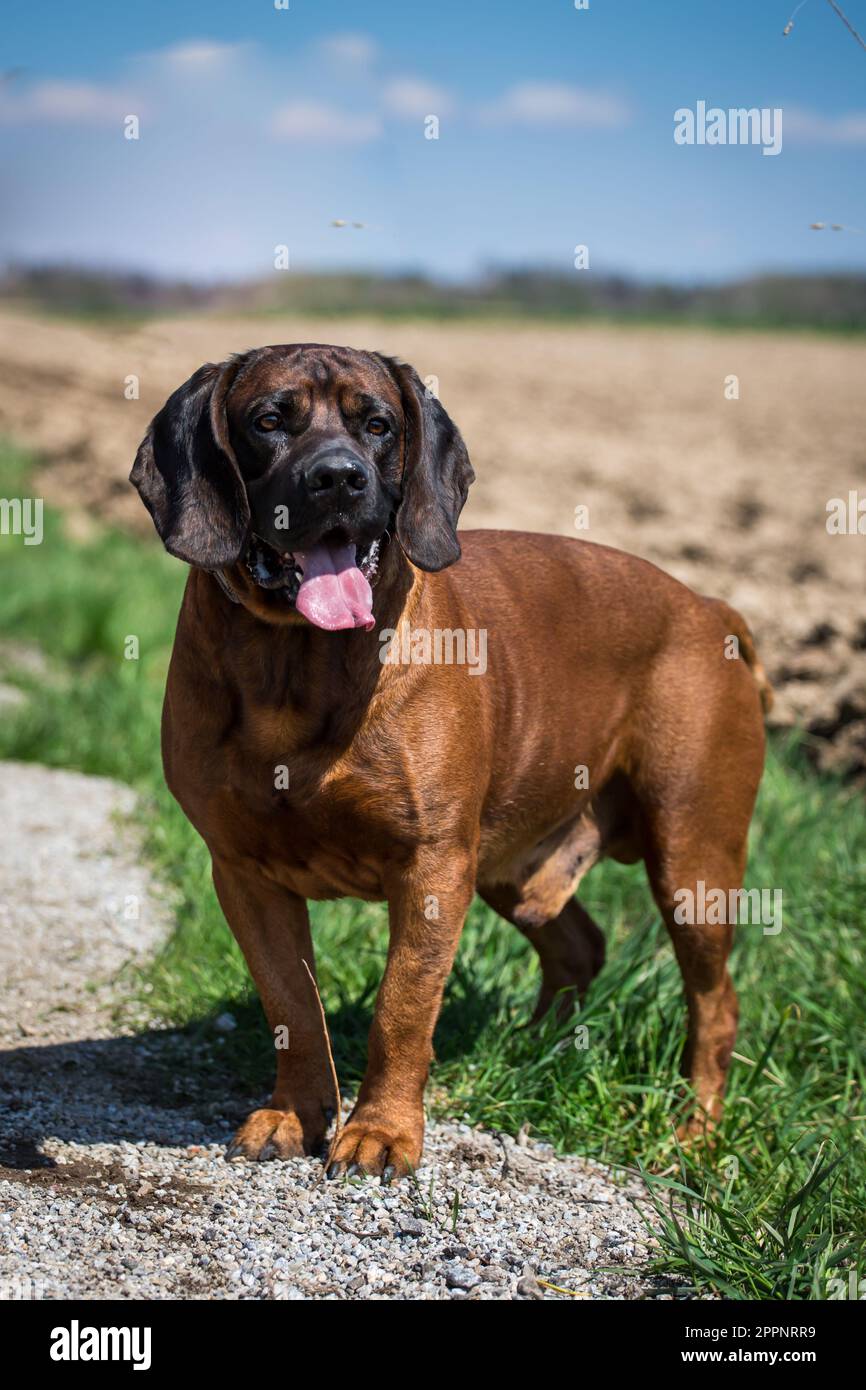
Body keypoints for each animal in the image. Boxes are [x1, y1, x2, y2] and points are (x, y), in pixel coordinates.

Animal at [132, 341, 767, 1178]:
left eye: (377, 425)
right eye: (269, 420)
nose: (339, 477)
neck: (296, 660)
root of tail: (710, 608)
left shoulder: (431, 865)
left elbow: (402, 1007)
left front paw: (381, 1132)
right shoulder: (244, 874)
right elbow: (291, 1007)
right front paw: (296, 1116)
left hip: (692, 861)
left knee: (717, 1005)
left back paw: (694, 1132)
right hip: (511, 864)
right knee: (579, 947)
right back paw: (535, 1051)